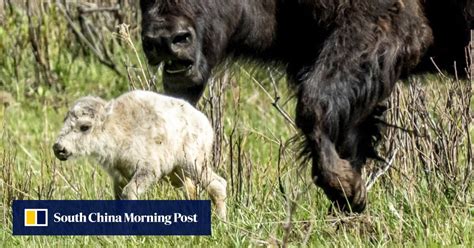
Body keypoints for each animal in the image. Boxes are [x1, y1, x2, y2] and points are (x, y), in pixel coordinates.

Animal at [52, 90, 227, 219]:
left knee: (217, 184)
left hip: (193, 162)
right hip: (176, 173)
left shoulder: (147, 169)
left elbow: (129, 193)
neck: (118, 127)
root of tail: (205, 123)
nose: (59, 148)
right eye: (65, 120)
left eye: (85, 127)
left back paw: (221, 221)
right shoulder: (119, 176)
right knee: (191, 191)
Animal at [138, 0, 470, 213]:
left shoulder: (379, 31)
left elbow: (313, 105)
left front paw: (345, 187)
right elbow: (347, 135)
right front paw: (351, 200)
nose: (166, 39)